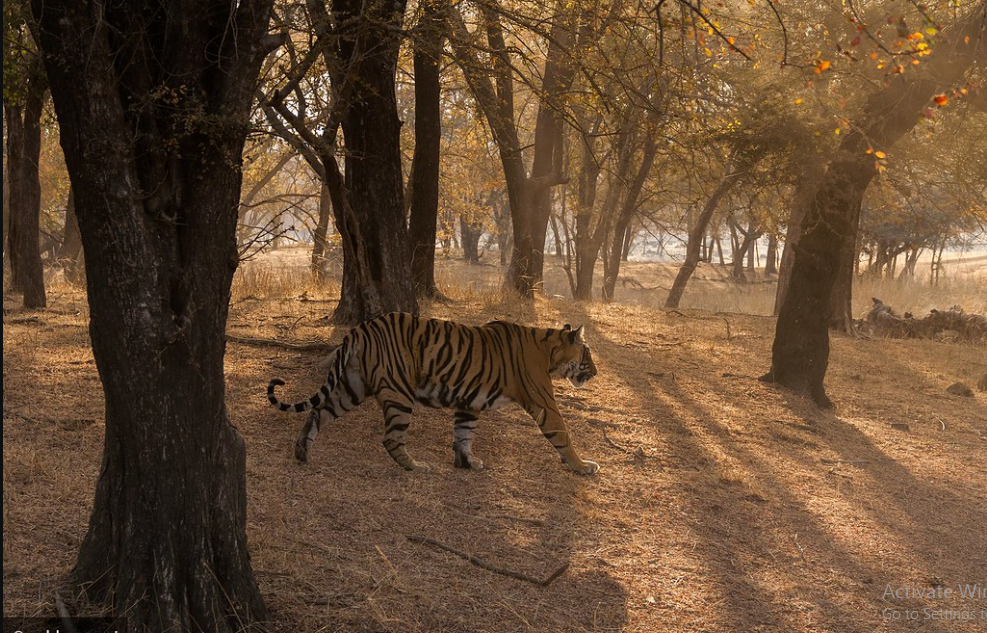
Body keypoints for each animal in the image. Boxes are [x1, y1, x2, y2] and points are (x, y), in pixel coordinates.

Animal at [266, 312, 600, 474]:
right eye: (587, 353)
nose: (595, 372)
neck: (549, 352)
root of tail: (361, 328)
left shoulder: (469, 402)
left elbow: (463, 434)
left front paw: (467, 463)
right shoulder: (544, 402)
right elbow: (563, 435)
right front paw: (583, 467)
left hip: (352, 386)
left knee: (318, 411)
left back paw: (302, 451)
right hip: (399, 393)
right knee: (391, 438)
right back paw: (416, 466)